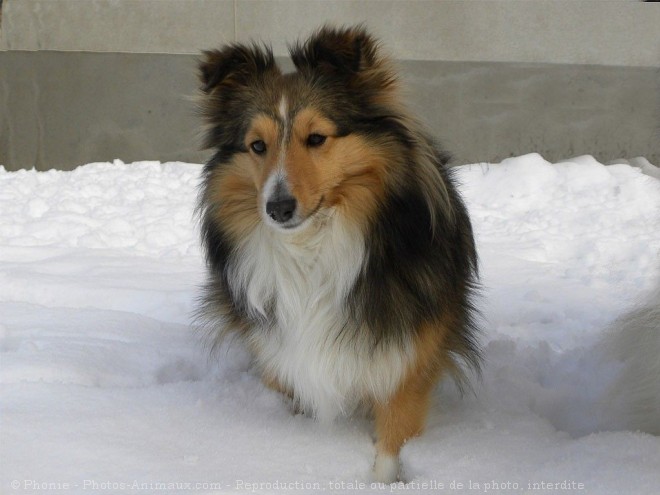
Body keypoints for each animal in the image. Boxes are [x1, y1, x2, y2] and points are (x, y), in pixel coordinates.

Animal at [195, 25, 480, 482]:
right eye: (257, 146)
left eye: (316, 138)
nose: (278, 208)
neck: (313, 247)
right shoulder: (283, 352)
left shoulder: (407, 359)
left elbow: (392, 438)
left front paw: (382, 479)